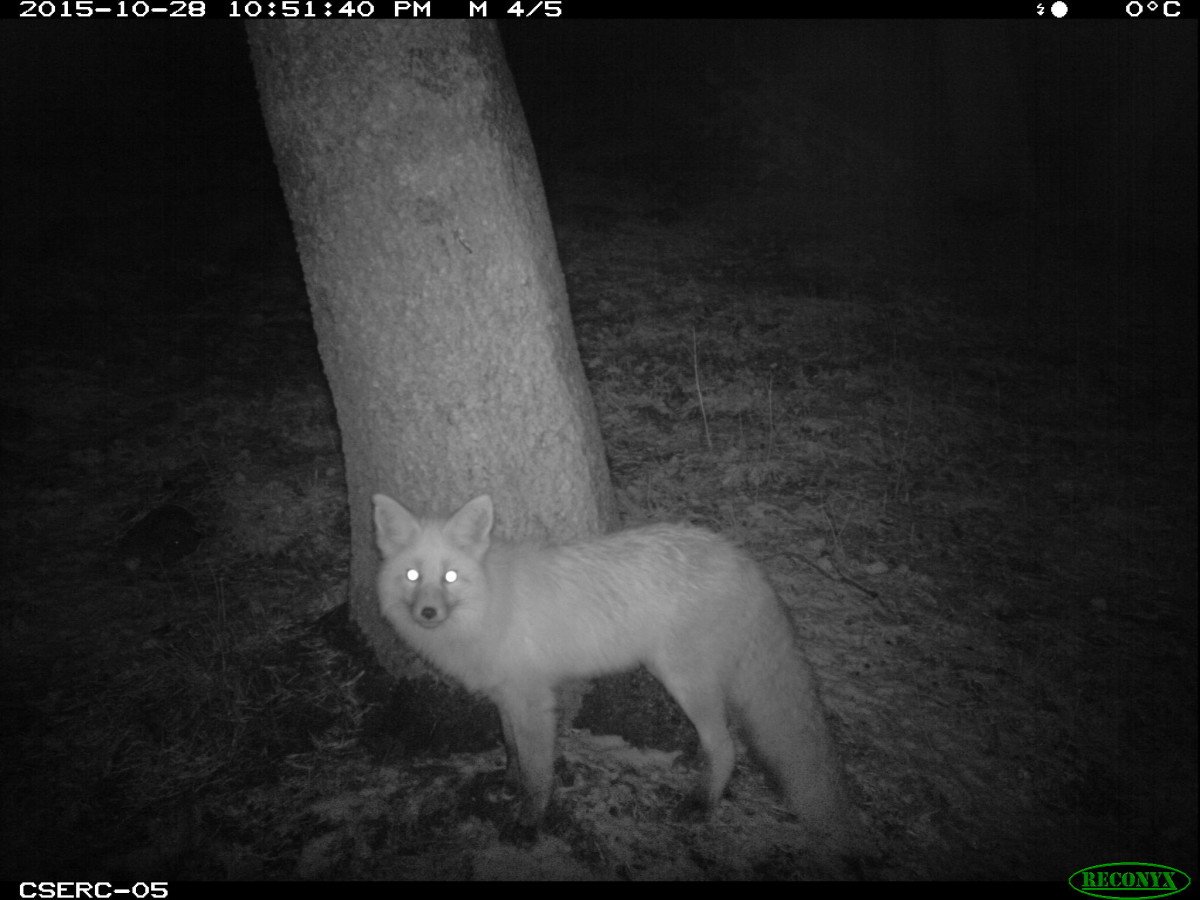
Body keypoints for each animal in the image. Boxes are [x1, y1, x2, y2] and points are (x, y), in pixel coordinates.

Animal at [372, 493, 853, 847]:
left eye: (450, 577)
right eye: (413, 575)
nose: (428, 613)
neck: (490, 603)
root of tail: (738, 555)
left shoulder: (533, 700)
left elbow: (538, 772)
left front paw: (529, 823)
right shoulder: (507, 695)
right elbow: (510, 747)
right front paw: (508, 782)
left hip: (683, 680)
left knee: (726, 746)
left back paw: (701, 804)